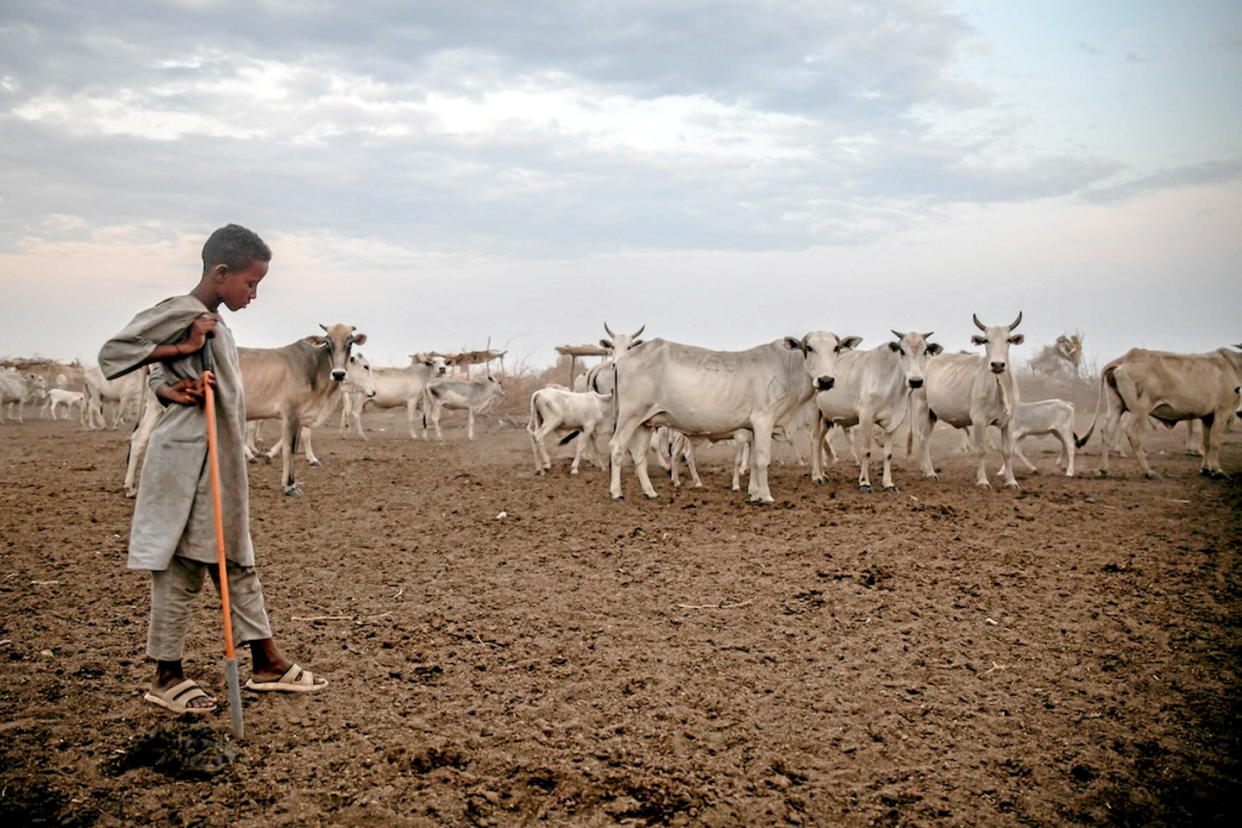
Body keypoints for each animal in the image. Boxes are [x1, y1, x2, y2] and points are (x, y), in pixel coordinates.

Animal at [606, 332, 859, 501]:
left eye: (836, 348)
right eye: (809, 348)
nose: (826, 380)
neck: (787, 370)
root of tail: (623, 360)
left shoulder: (753, 429)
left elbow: (754, 461)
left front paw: (754, 493)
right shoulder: (763, 421)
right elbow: (762, 460)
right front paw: (766, 496)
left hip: (645, 422)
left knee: (639, 455)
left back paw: (650, 492)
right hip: (630, 415)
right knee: (617, 446)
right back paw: (617, 492)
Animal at [809, 332, 933, 491]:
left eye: (925, 351)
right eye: (902, 351)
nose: (915, 381)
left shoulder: (894, 422)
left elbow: (888, 454)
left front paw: (888, 484)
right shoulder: (866, 418)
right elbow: (866, 451)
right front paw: (864, 482)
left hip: (827, 418)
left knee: (820, 441)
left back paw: (823, 474)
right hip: (815, 412)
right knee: (814, 440)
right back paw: (816, 476)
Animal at [1078, 342, 1242, 476]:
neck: (1234, 366)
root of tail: (1125, 359)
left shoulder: (1207, 416)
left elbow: (1207, 442)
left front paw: (1205, 469)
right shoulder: (1223, 410)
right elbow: (1215, 441)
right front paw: (1217, 470)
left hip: (1117, 406)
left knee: (1107, 431)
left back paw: (1104, 469)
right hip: (1140, 410)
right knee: (1131, 431)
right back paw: (1148, 471)